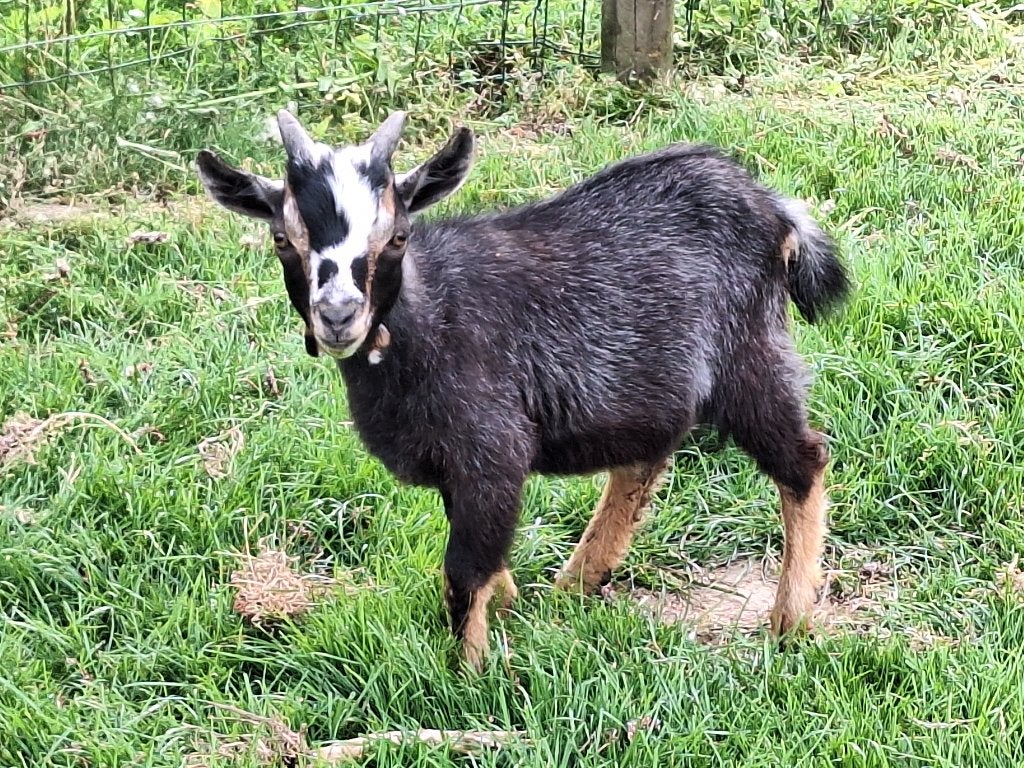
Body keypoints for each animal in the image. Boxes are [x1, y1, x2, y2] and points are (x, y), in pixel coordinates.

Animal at [195, 110, 850, 670]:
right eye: (283, 239)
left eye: (399, 235)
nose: (338, 316)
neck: (427, 320)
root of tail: (772, 206)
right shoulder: (457, 466)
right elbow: (481, 557)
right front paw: (509, 609)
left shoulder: (491, 450)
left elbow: (463, 571)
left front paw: (471, 676)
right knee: (645, 458)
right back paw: (576, 584)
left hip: (749, 356)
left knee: (804, 459)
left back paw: (788, 621)